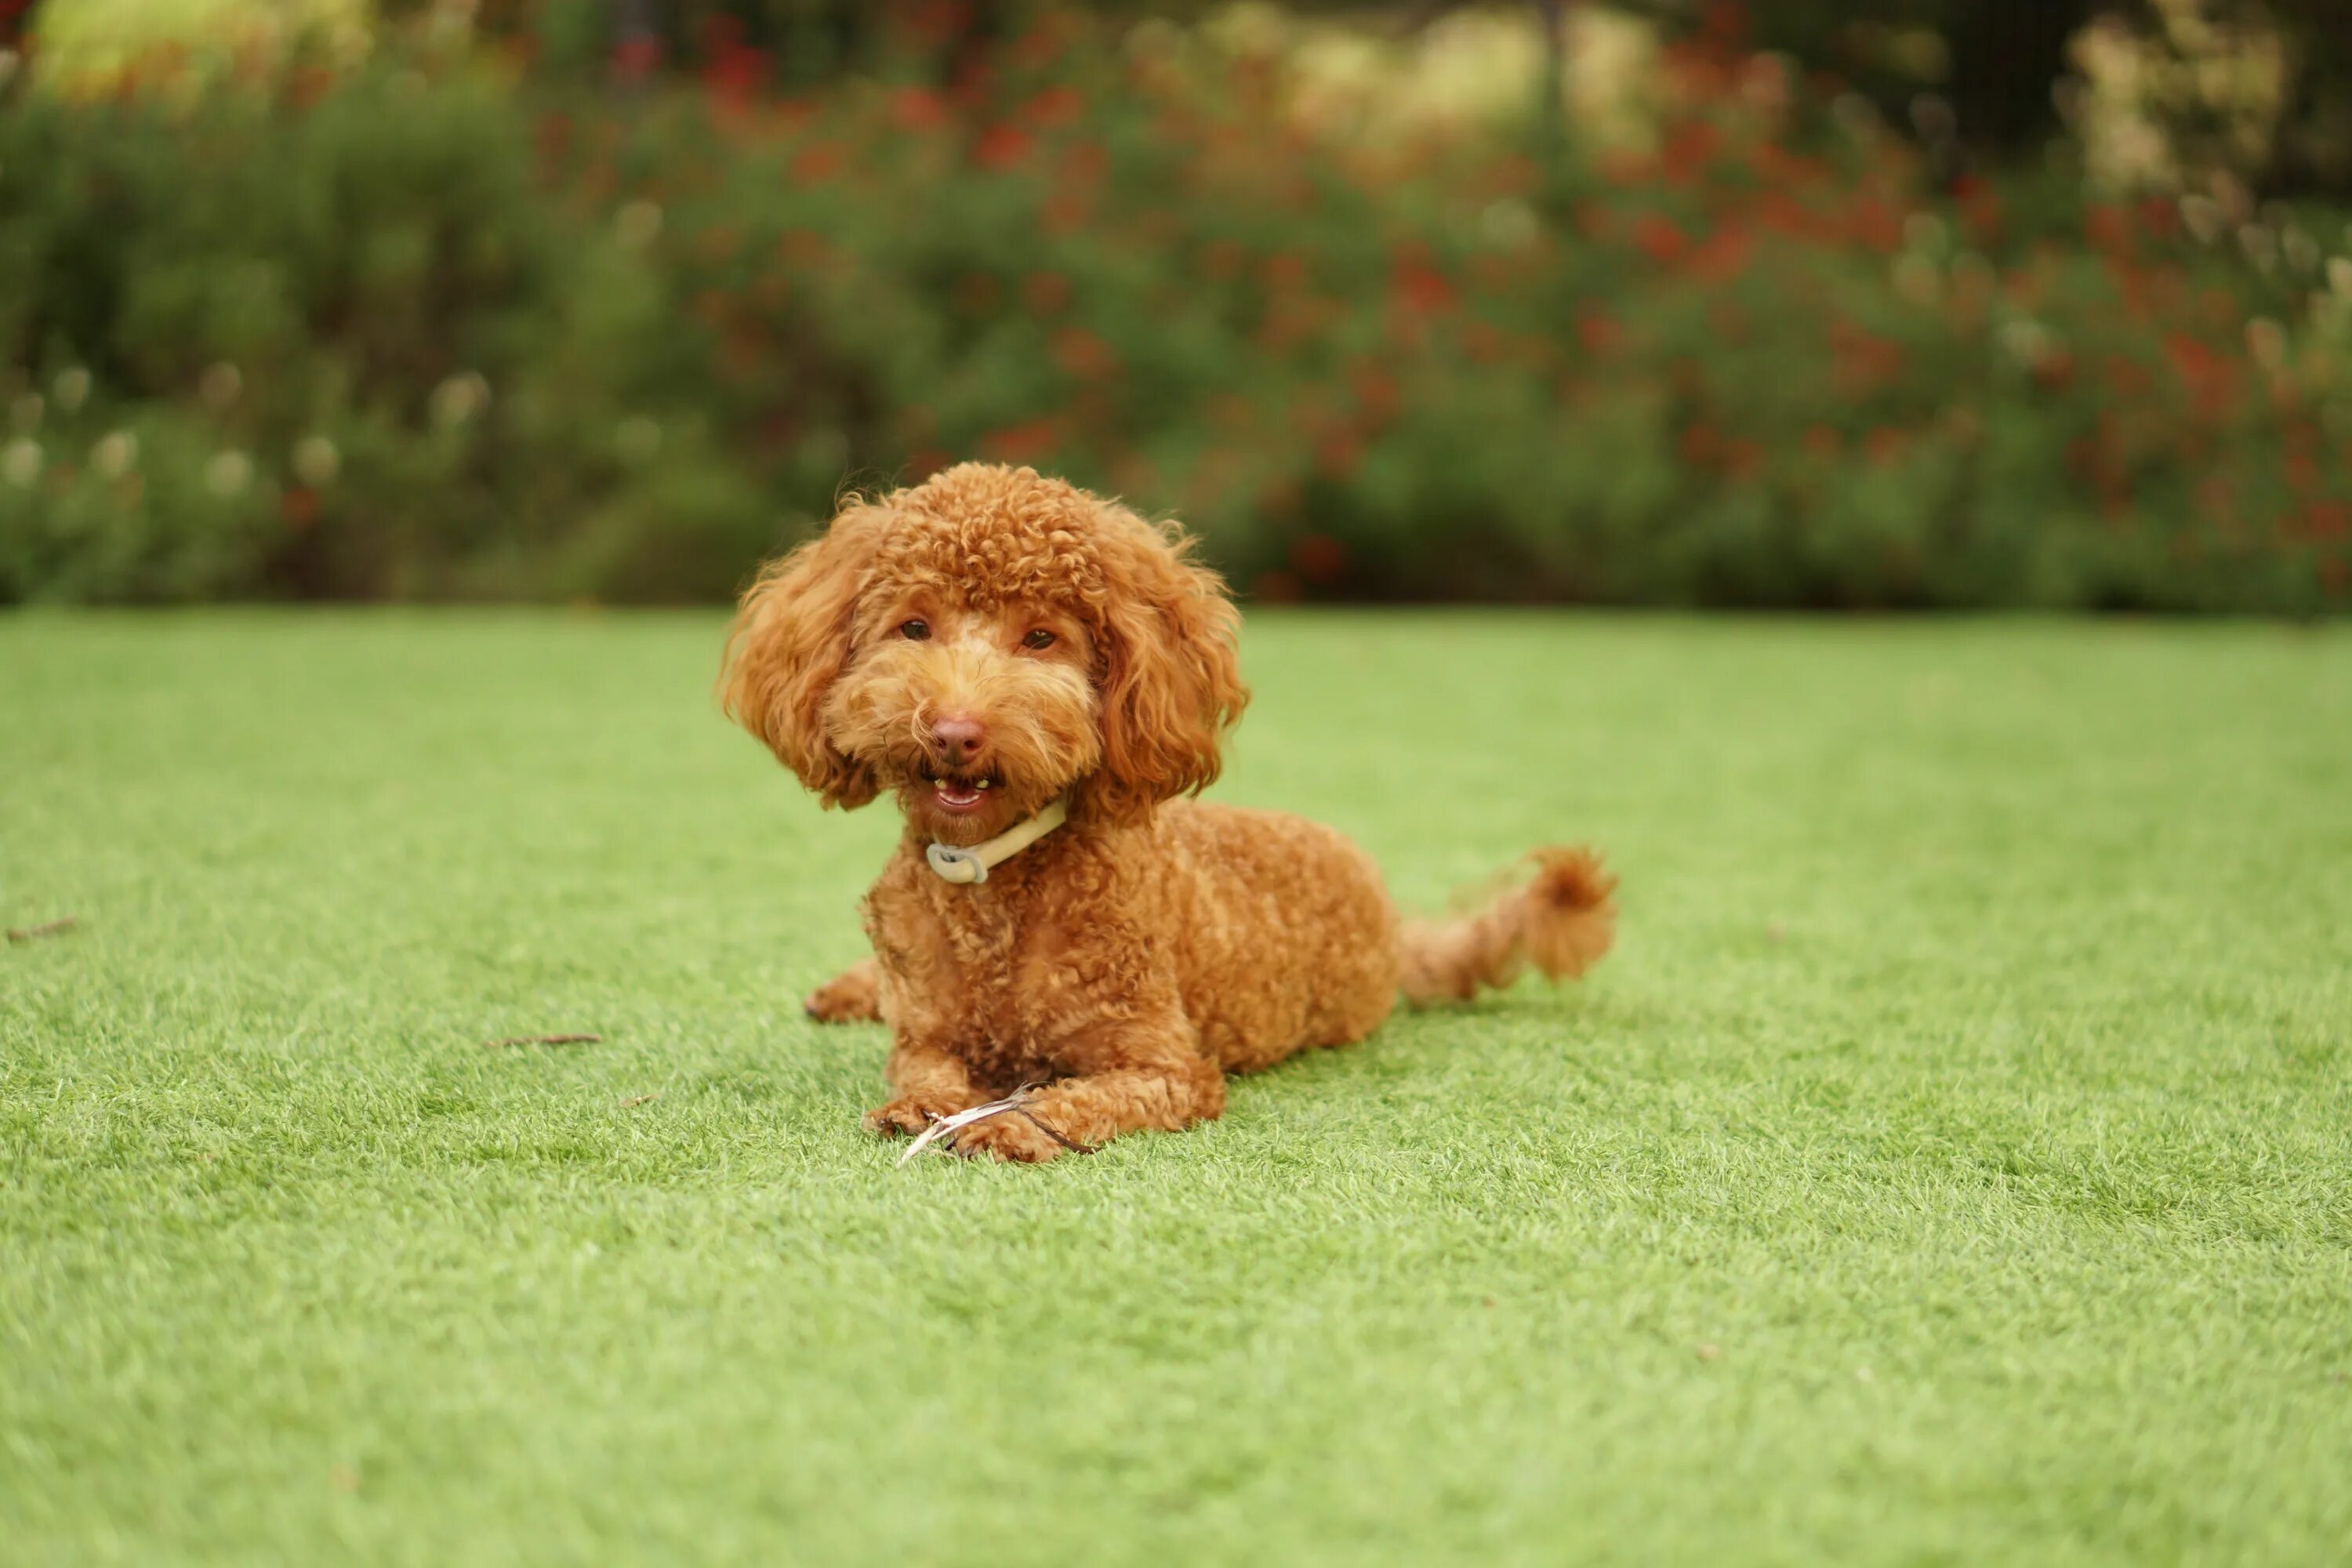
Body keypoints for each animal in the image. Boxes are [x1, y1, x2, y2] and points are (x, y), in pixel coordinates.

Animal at [715, 460, 1618, 1161]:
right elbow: (924, 1071)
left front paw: (1012, 1124)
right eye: (913, 627)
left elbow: (1075, 1097)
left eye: (1040, 638)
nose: (955, 732)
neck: (996, 881)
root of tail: (1392, 920)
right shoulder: (926, 1032)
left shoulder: (1166, 1068)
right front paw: (924, 1107)